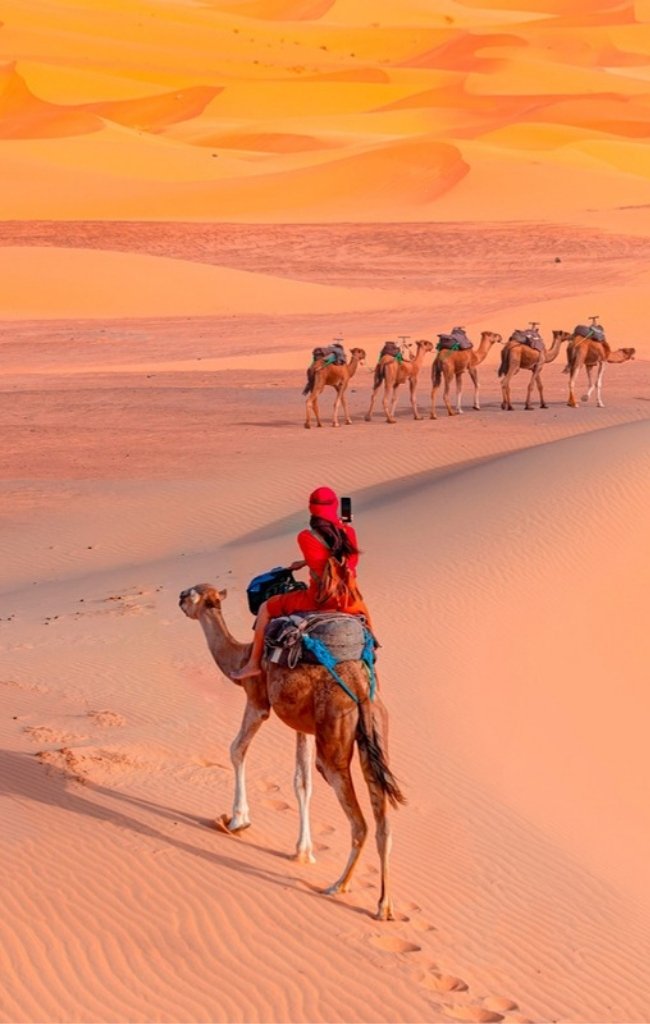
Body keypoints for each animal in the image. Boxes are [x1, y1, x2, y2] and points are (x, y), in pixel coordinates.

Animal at [178, 583, 404, 920]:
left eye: (193, 594)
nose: (179, 597)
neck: (239, 657)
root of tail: (361, 693)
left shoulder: (257, 700)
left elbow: (236, 749)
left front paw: (238, 820)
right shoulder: (304, 726)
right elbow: (302, 782)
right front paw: (303, 851)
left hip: (334, 745)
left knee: (359, 822)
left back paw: (338, 886)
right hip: (375, 735)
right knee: (383, 824)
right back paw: (383, 905)